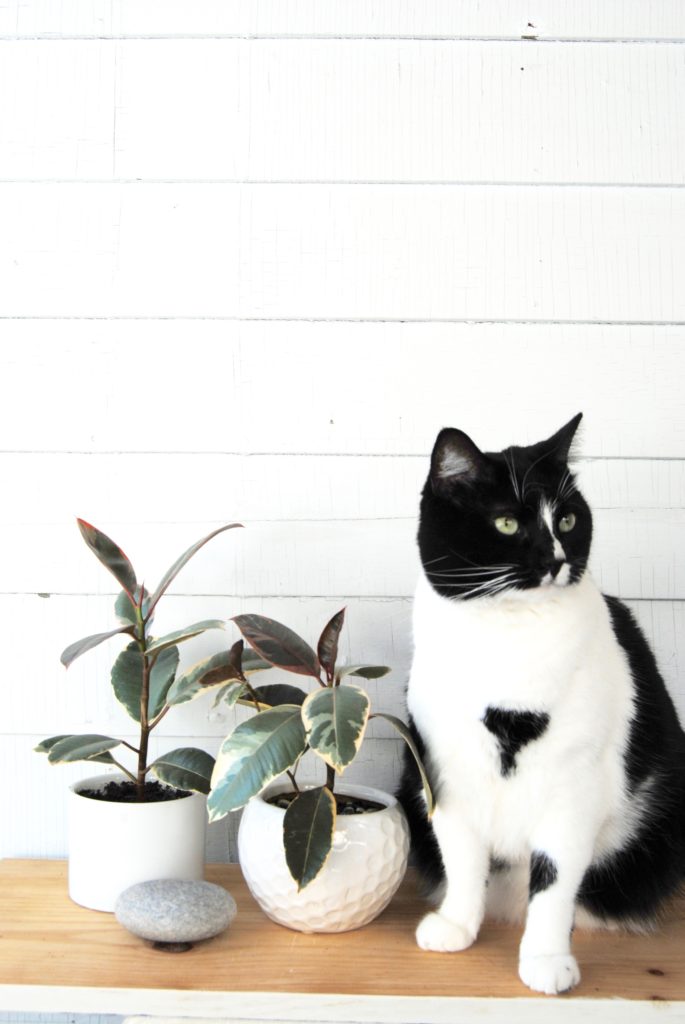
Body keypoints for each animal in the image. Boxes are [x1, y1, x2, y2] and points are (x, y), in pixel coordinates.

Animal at [397, 413, 679, 991]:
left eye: (568, 519)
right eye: (507, 524)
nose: (555, 559)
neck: (512, 637)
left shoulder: (576, 782)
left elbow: (554, 879)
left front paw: (546, 959)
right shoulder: (442, 771)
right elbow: (462, 857)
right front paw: (458, 925)